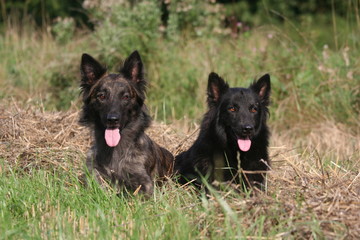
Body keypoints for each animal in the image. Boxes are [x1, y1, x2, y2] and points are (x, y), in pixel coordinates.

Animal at [79, 50, 174, 195]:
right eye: (101, 96)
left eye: (125, 97)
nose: (112, 119)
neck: (114, 151)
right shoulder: (95, 177)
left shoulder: (144, 184)